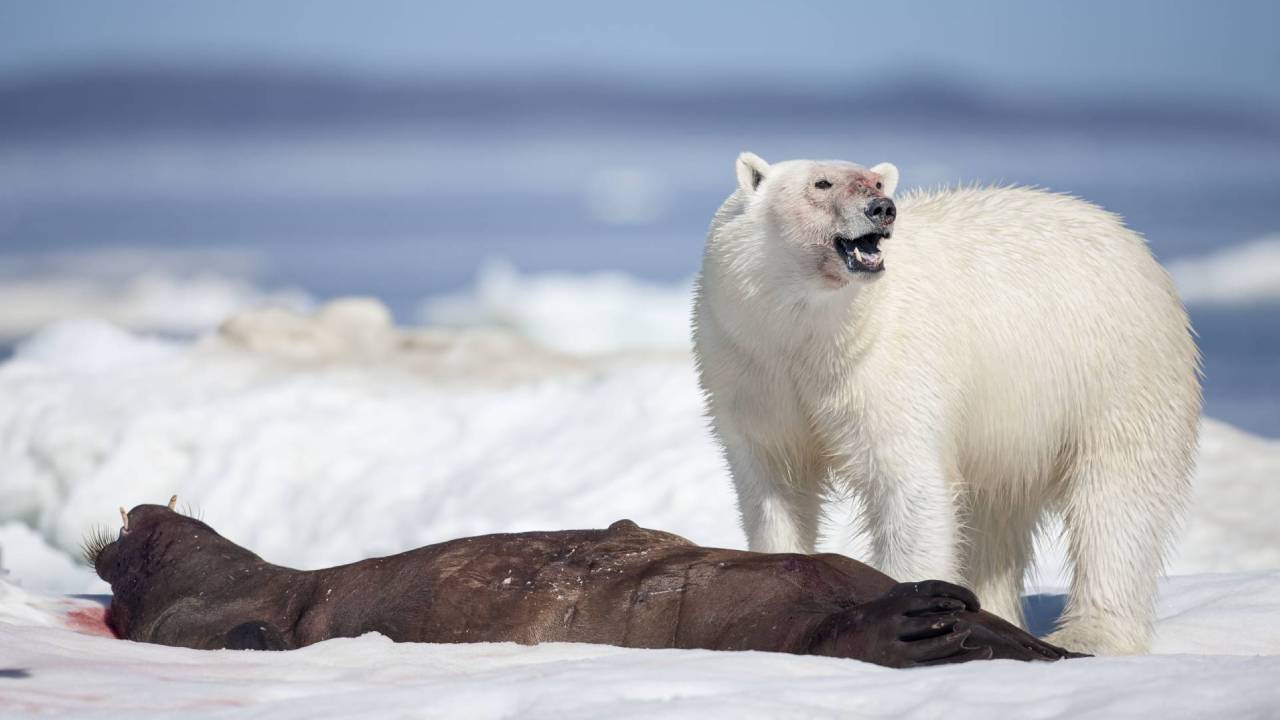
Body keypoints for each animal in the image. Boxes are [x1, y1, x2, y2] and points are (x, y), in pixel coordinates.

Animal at [691, 151, 1198, 655]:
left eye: (877, 181)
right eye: (821, 183)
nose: (882, 208)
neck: (809, 334)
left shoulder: (886, 369)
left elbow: (907, 485)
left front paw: (913, 608)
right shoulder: (752, 368)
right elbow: (776, 486)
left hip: (1117, 375)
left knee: (1116, 503)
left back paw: (1091, 633)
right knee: (993, 519)